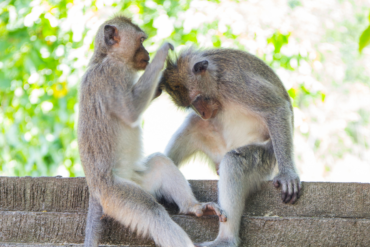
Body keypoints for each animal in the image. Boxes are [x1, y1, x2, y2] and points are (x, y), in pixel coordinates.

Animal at [77, 16, 225, 247]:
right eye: (141, 41)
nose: (147, 54)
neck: (103, 58)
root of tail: (94, 192)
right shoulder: (113, 74)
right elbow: (130, 111)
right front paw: (162, 54)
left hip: (140, 181)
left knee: (160, 163)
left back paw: (193, 207)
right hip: (116, 195)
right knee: (153, 212)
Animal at [159, 47, 300, 246]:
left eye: (198, 99)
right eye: (191, 105)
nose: (203, 113)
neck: (217, 82)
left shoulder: (237, 84)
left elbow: (276, 108)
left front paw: (287, 173)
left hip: (266, 158)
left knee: (234, 161)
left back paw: (226, 240)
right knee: (194, 124)